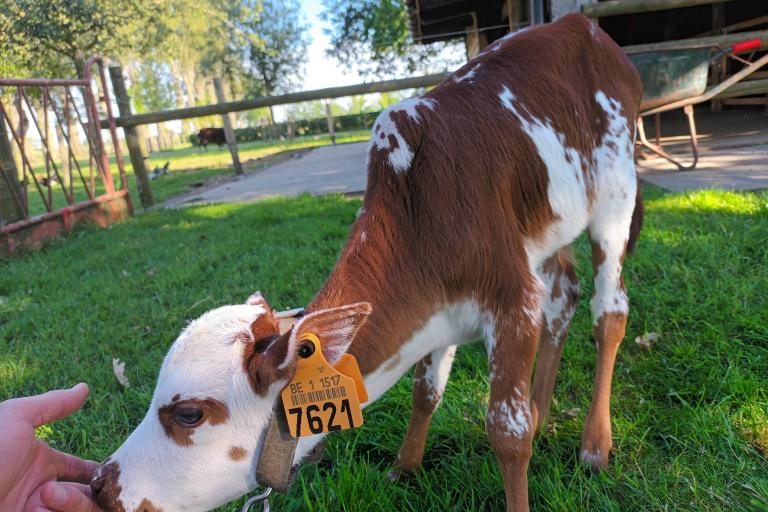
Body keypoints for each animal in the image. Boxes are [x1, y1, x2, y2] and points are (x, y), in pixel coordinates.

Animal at [90, 14, 640, 510]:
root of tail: (582, 25)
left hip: (616, 188)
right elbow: (425, 391)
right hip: (550, 225)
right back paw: (544, 408)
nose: (100, 486)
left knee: (609, 310)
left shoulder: (512, 299)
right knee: (565, 292)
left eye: (188, 414)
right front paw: (405, 465)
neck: (419, 216)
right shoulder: (448, 310)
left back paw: (594, 443)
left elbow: (507, 431)